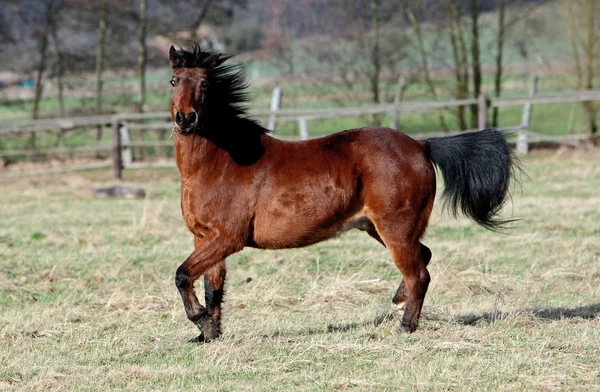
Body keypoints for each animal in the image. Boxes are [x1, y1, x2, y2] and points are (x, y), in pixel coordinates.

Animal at [166, 43, 516, 344]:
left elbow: (182, 275)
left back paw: (405, 326)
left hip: (395, 227)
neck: (222, 161)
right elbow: (212, 289)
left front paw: (200, 321)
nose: (186, 119)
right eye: (173, 81)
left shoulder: (228, 237)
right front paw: (208, 334)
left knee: (419, 273)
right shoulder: (204, 237)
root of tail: (421, 145)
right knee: (423, 257)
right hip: (377, 227)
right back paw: (398, 301)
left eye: (205, 84)